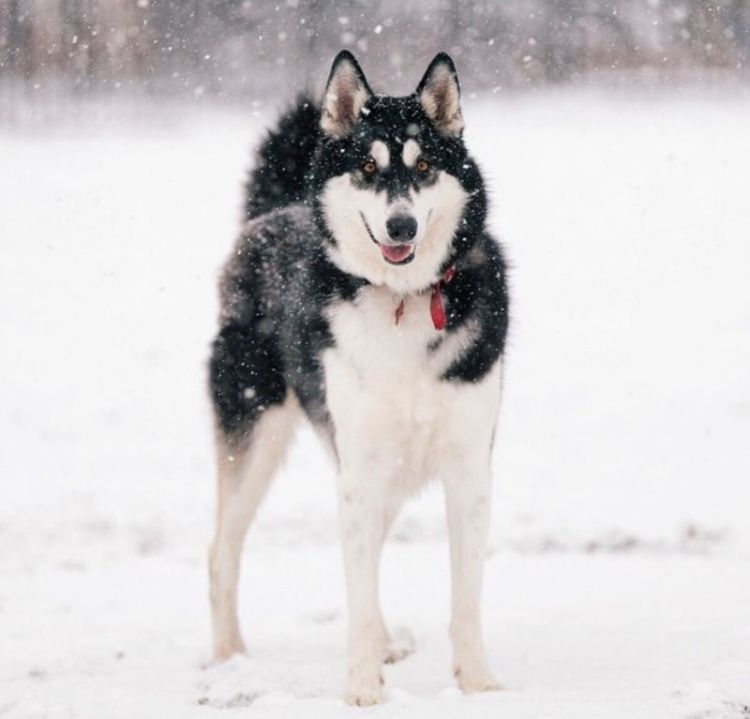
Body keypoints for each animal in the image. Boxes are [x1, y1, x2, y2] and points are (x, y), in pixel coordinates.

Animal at [207, 52, 512, 708]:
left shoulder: (468, 467)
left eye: (423, 165)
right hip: (259, 431)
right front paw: (362, 686)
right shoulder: (359, 469)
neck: (402, 299)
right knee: (221, 552)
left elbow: (466, 594)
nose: (401, 227)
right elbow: (358, 589)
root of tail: (271, 215)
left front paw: (476, 681)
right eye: (368, 168)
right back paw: (226, 657)